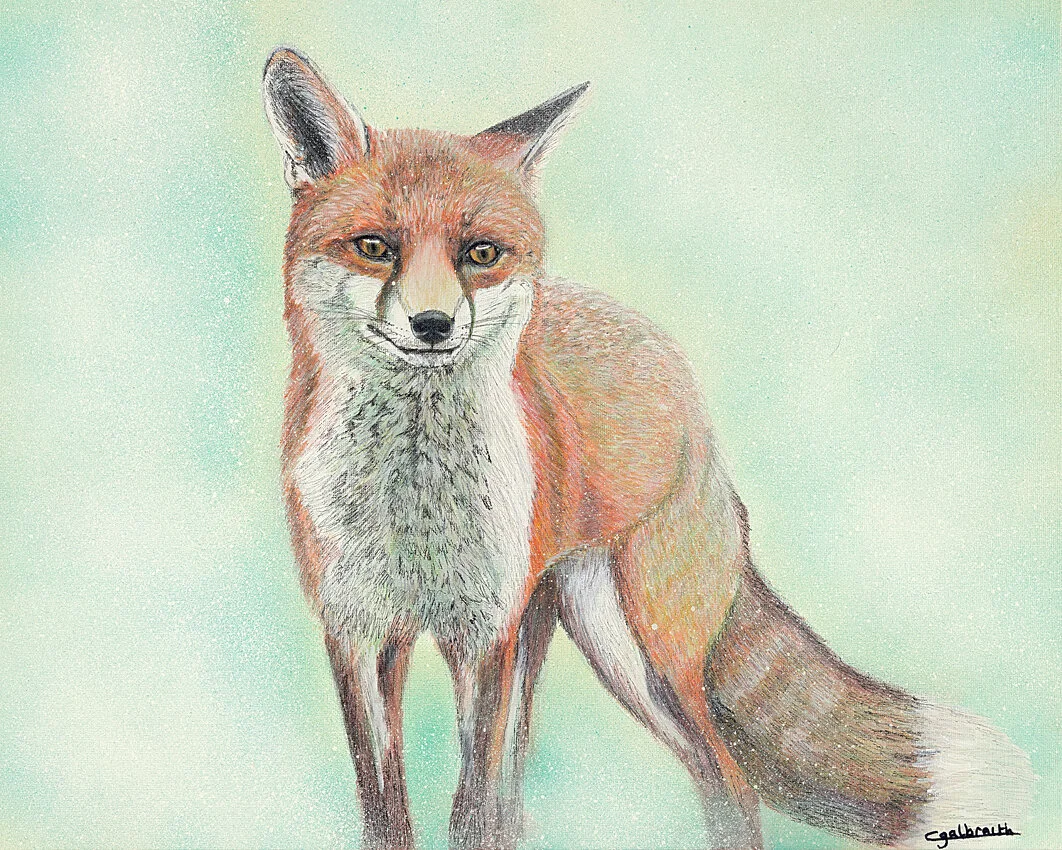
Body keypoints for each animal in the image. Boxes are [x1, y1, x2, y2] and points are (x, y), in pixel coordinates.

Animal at [262, 47, 1033, 850]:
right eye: (374, 248)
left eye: (480, 253)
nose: (435, 324)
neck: (412, 504)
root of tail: (677, 372)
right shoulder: (359, 633)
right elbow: (391, 812)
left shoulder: (481, 637)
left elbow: (469, 812)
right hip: (554, 628)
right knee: (521, 795)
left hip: (638, 646)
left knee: (728, 782)